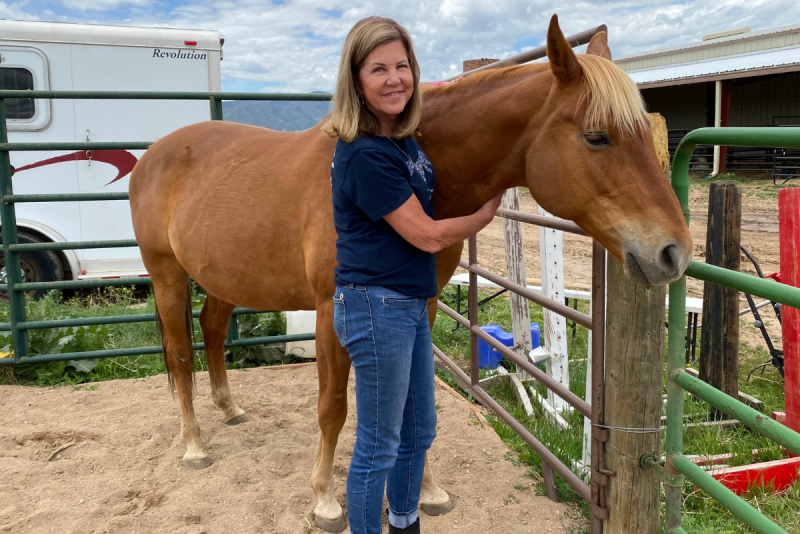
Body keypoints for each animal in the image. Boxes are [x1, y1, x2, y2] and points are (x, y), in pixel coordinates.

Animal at [128, 15, 693, 533]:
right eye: (597, 137)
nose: (674, 253)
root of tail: (155, 153)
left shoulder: (421, 304)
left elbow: (414, 409)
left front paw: (427, 491)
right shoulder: (334, 310)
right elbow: (332, 406)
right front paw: (325, 499)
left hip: (223, 276)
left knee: (212, 328)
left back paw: (230, 410)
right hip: (167, 274)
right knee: (180, 353)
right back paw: (195, 445)